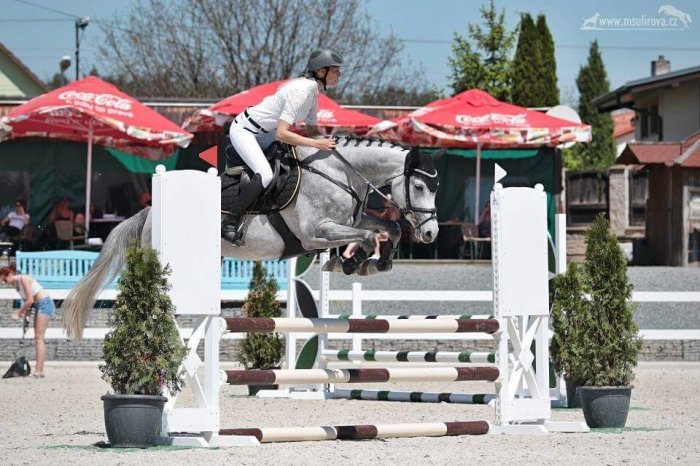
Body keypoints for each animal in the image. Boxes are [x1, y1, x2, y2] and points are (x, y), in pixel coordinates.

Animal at [61, 136, 440, 340]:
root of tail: (150, 211)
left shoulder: (350, 220)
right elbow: (365, 237)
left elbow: (387, 228)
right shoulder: (317, 233)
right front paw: (355, 263)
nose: (431, 232)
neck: (340, 174)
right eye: (420, 186)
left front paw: (376, 263)